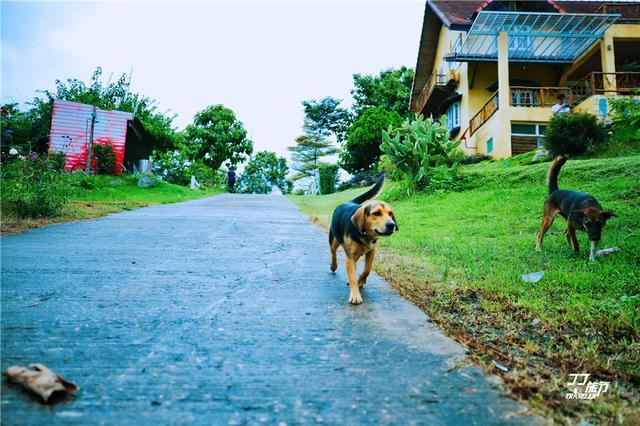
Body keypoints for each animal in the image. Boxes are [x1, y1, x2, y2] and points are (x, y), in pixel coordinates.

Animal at [328, 175, 398, 304]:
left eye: (390, 214)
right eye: (377, 213)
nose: (392, 225)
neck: (365, 234)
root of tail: (348, 202)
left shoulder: (371, 252)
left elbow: (367, 270)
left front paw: (360, 280)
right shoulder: (350, 257)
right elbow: (352, 277)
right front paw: (355, 295)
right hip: (334, 242)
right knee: (333, 253)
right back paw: (333, 266)